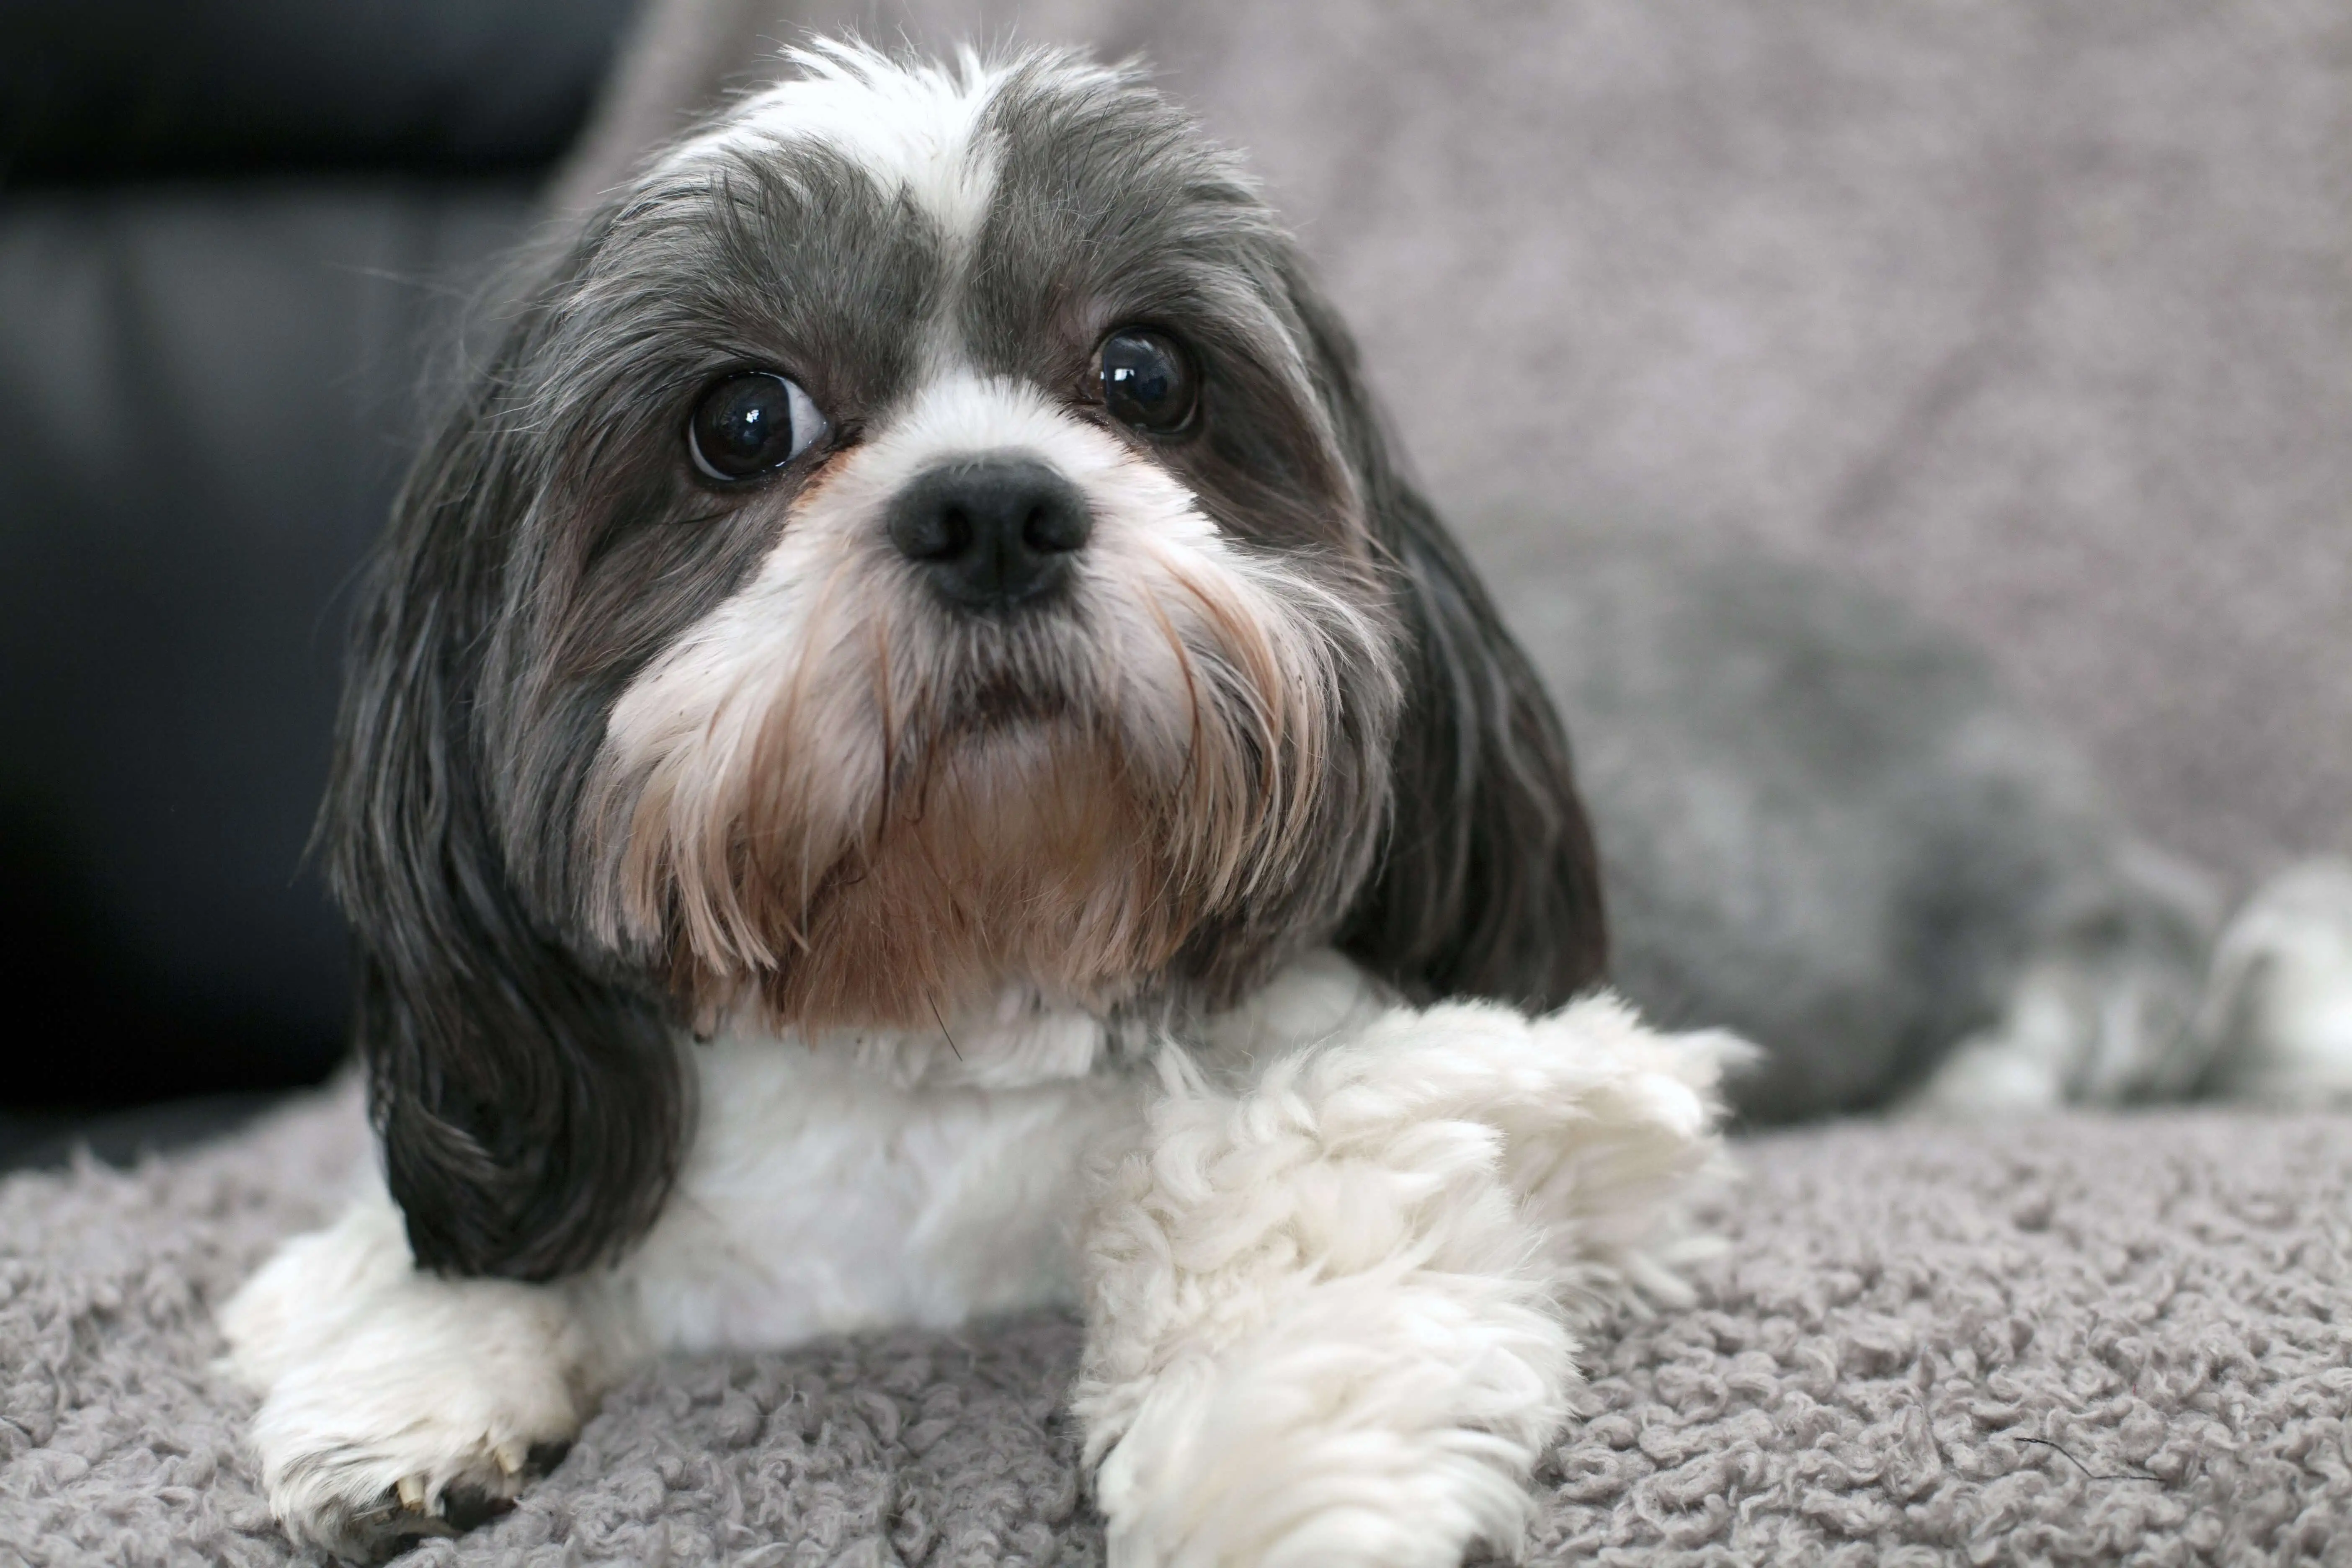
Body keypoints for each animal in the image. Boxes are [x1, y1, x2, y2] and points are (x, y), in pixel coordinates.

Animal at [221, 43, 1750, 1561]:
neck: (952, 1006)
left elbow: (1271, 1170)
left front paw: (1273, 1475)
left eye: (1147, 373)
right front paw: (417, 1364)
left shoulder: (1542, 1080)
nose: (993, 509)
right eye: (743, 423)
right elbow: (457, 1231)